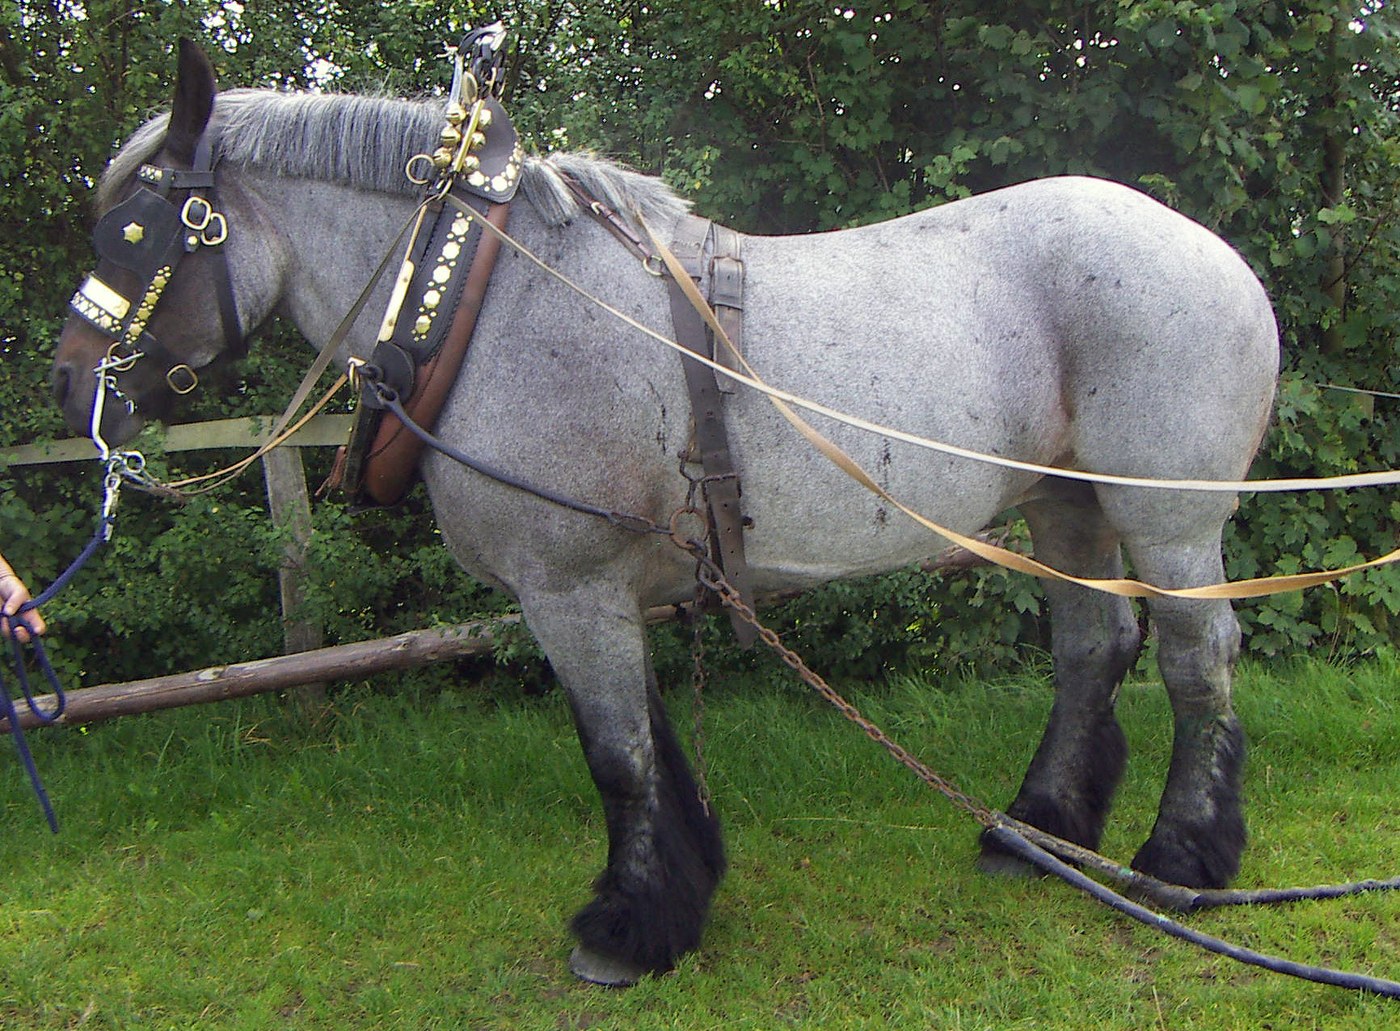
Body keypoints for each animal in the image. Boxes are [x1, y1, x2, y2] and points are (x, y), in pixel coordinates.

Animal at [52, 42, 1279, 986]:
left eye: (131, 235)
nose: (72, 391)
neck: (485, 299)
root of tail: (1214, 253)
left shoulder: (569, 588)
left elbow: (617, 754)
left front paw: (627, 929)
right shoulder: (605, 587)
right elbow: (650, 739)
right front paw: (677, 890)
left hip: (1168, 521)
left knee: (1196, 657)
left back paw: (1180, 858)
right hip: (1063, 503)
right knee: (1091, 644)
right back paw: (1034, 830)